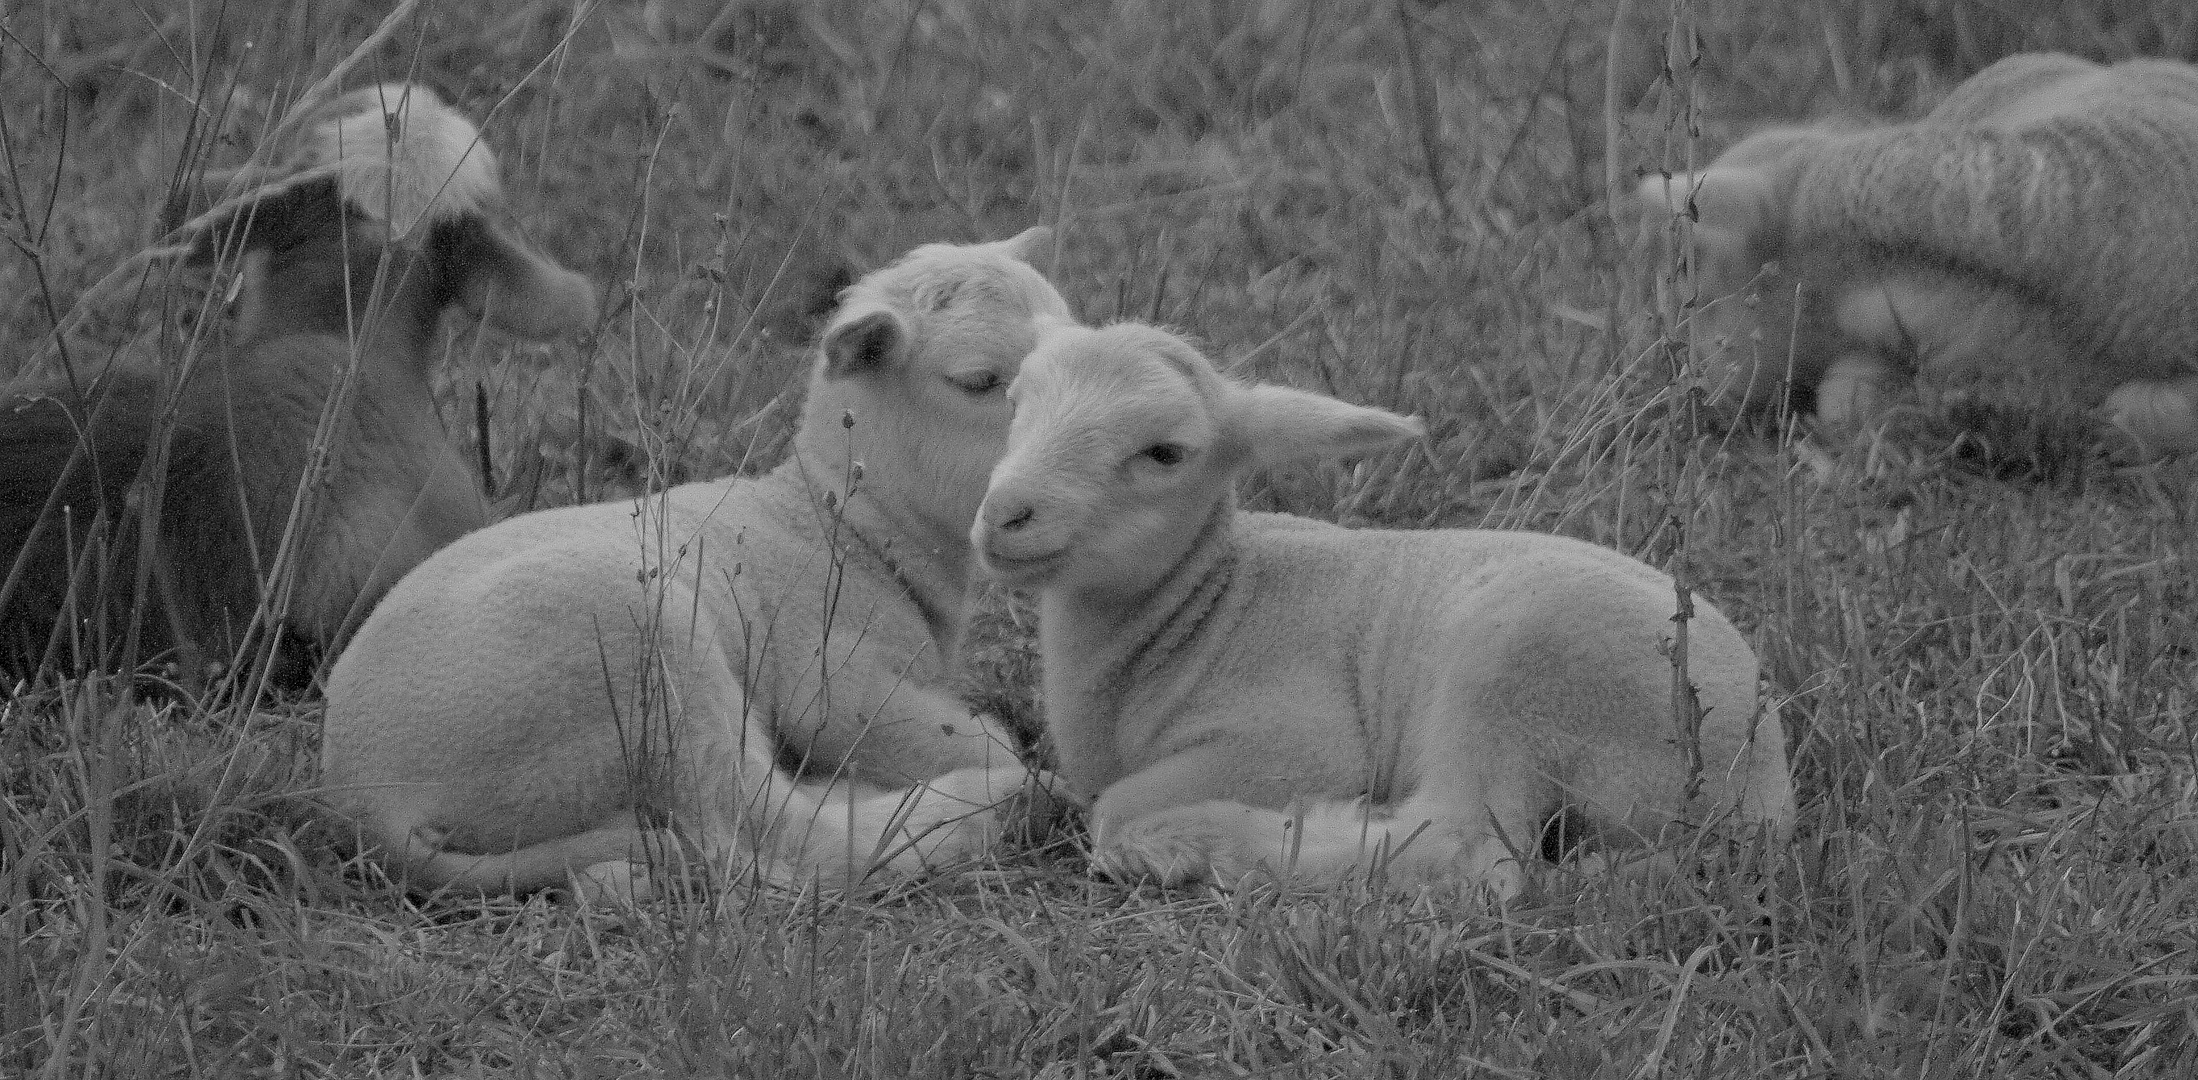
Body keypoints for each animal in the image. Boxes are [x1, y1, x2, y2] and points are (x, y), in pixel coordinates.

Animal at [323, 229, 1072, 906]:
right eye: (978, 382)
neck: (845, 525)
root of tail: (370, 807)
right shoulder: (833, 678)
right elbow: (967, 737)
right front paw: (1000, 759)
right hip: (645, 666)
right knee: (773, 832)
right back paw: (996, 804)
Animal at [971, 325, 1793, 901]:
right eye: (1013, 406)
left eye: (1165, 452)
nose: (1004, 515)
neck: (1208, 606)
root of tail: (1758, 796)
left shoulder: (1294, 739)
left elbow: (1112, 806)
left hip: (1512, 673)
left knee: (1471, 850)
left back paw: (1223, 840)